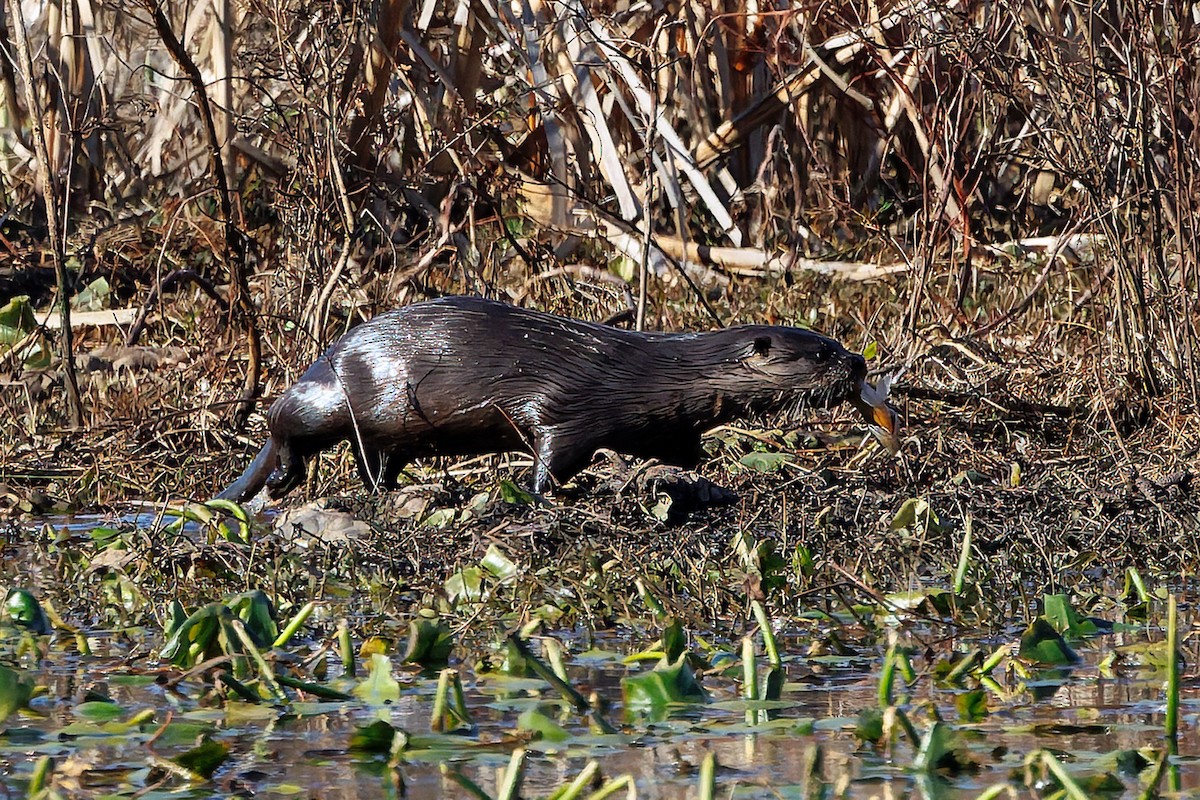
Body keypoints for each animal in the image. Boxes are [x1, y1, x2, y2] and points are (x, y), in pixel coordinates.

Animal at [216, 296, 898, 502]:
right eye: (819, 353)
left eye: (838, 344)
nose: (860, 363)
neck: (654, 372)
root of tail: (332, 352)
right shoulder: (566, 406)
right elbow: (550, 449)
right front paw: (550, 494)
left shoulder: (661, 423)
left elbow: (680, 448)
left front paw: (701, 474)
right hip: (356, 396)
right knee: (289, 422)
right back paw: (282, 480)